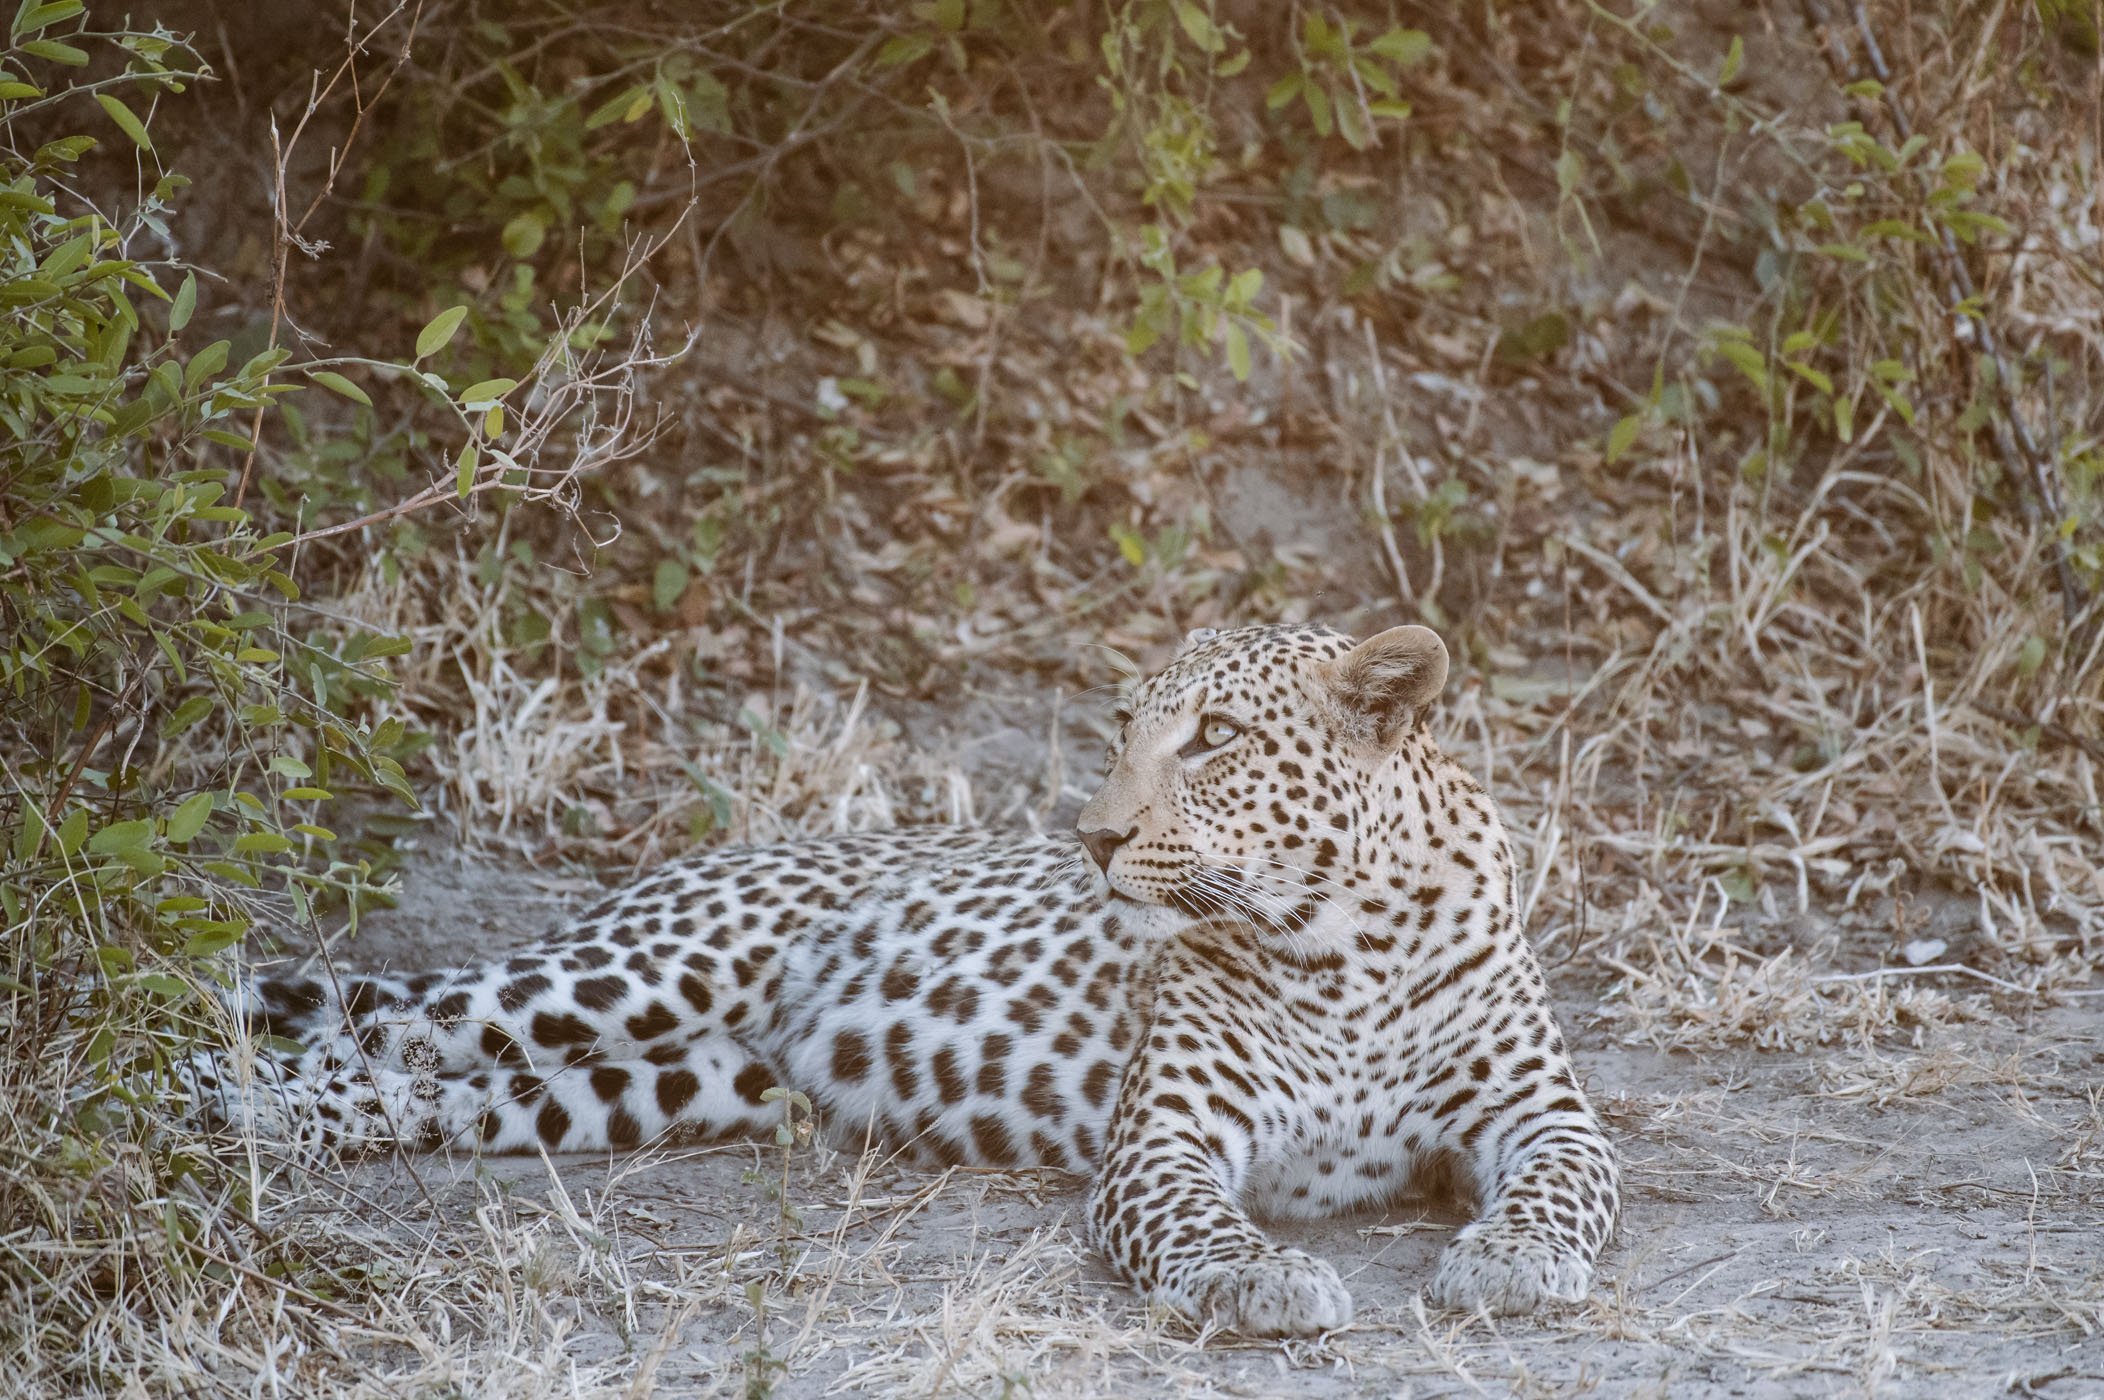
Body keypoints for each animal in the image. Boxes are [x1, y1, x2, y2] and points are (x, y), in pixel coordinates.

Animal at [193, 623, 1607, 1330]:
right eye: (1122, 729)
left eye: (1215, 737)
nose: (1093, 835)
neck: (1339, 936)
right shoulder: (1164, 1138)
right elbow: (1200, 1220)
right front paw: (1263, 1278)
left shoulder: (1544, 1112)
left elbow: (1565, 1189)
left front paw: (1507, 1264)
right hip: (619, 974)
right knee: (372, 1032)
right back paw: (210, 1104)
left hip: (664, 1083)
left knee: (428, 1089)